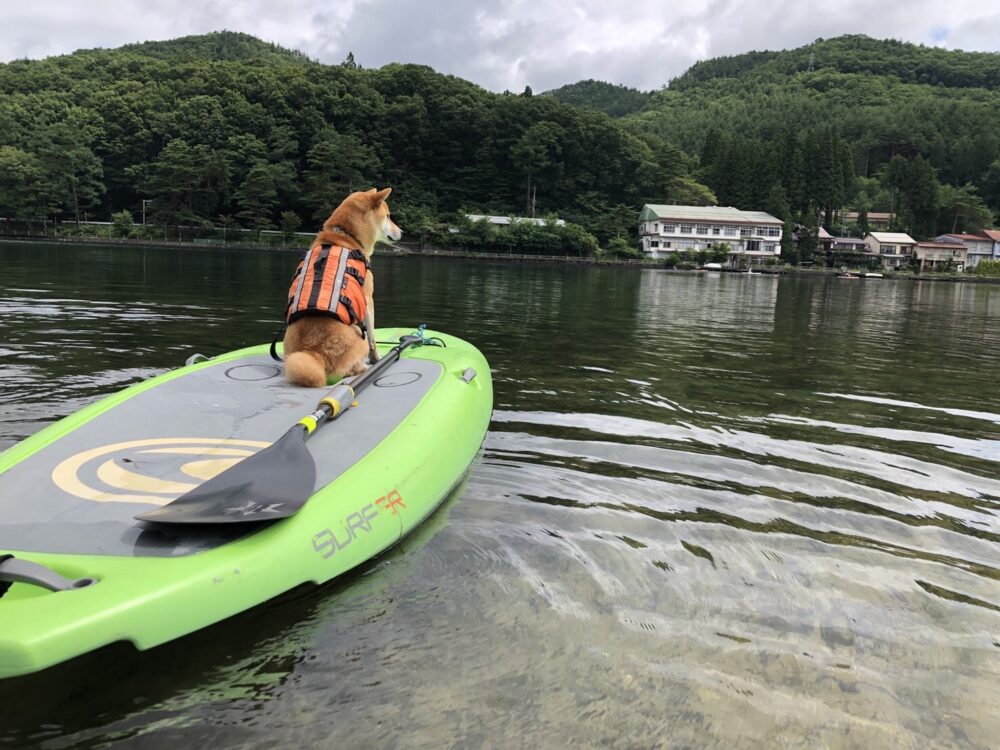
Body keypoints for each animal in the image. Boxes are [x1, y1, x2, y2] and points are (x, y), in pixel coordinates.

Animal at [282, 188, 402, 388]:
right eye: (388, 216)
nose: (402, 231)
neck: (346, 236)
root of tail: (313, 353)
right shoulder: (368, 300)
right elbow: (373, 338)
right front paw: (376, 359)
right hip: (357, 333)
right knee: (355, 365)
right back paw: (364, 367)